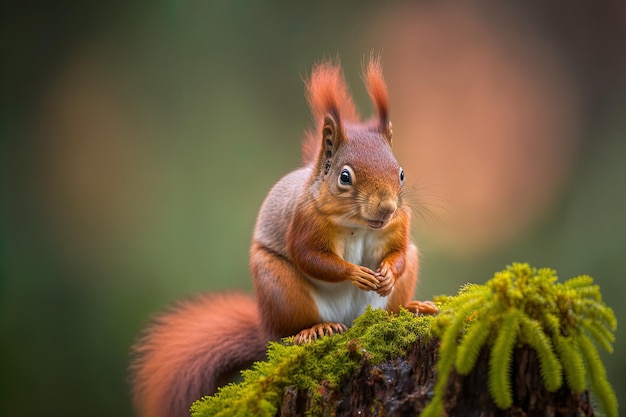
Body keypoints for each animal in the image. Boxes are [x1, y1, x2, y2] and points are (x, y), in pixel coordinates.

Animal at [130, 57, 436, 416]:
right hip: (280, 288)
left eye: (401, 173)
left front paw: (386, 273)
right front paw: (355, 273)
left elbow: (398, 252)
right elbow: (311, 257)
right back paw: (317, 329)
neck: (358, 224)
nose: (386, 207)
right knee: (291, 331)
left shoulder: (399, 225)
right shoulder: (305, 223)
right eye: (345, 176)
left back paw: (412, 308)